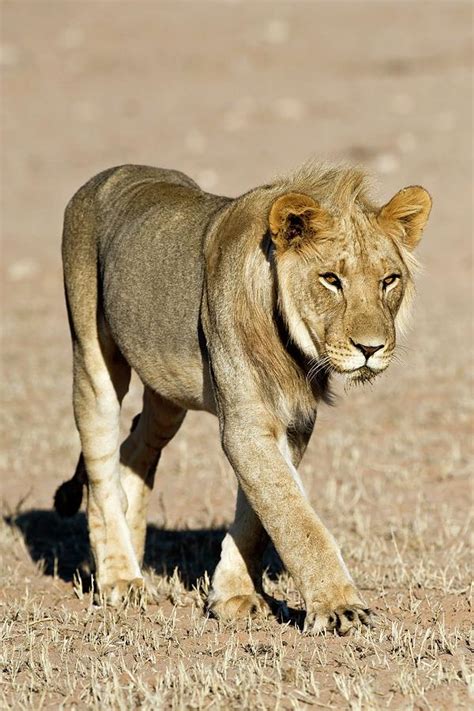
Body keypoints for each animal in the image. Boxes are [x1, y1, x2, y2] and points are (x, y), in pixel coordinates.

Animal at [53, 164, 432, 636]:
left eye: (388, 280)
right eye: (331, 279)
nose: (371, 348)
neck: (294, 349)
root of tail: (109, 174)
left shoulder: (294, 423)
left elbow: (258, 516)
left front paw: (233, 595)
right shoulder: (246, 425)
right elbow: (295, 517)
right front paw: (339, 607)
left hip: (167, 394)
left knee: (136, 448)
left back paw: (137, 556)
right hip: (92, 356)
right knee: (101, 465)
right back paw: (120, 577)